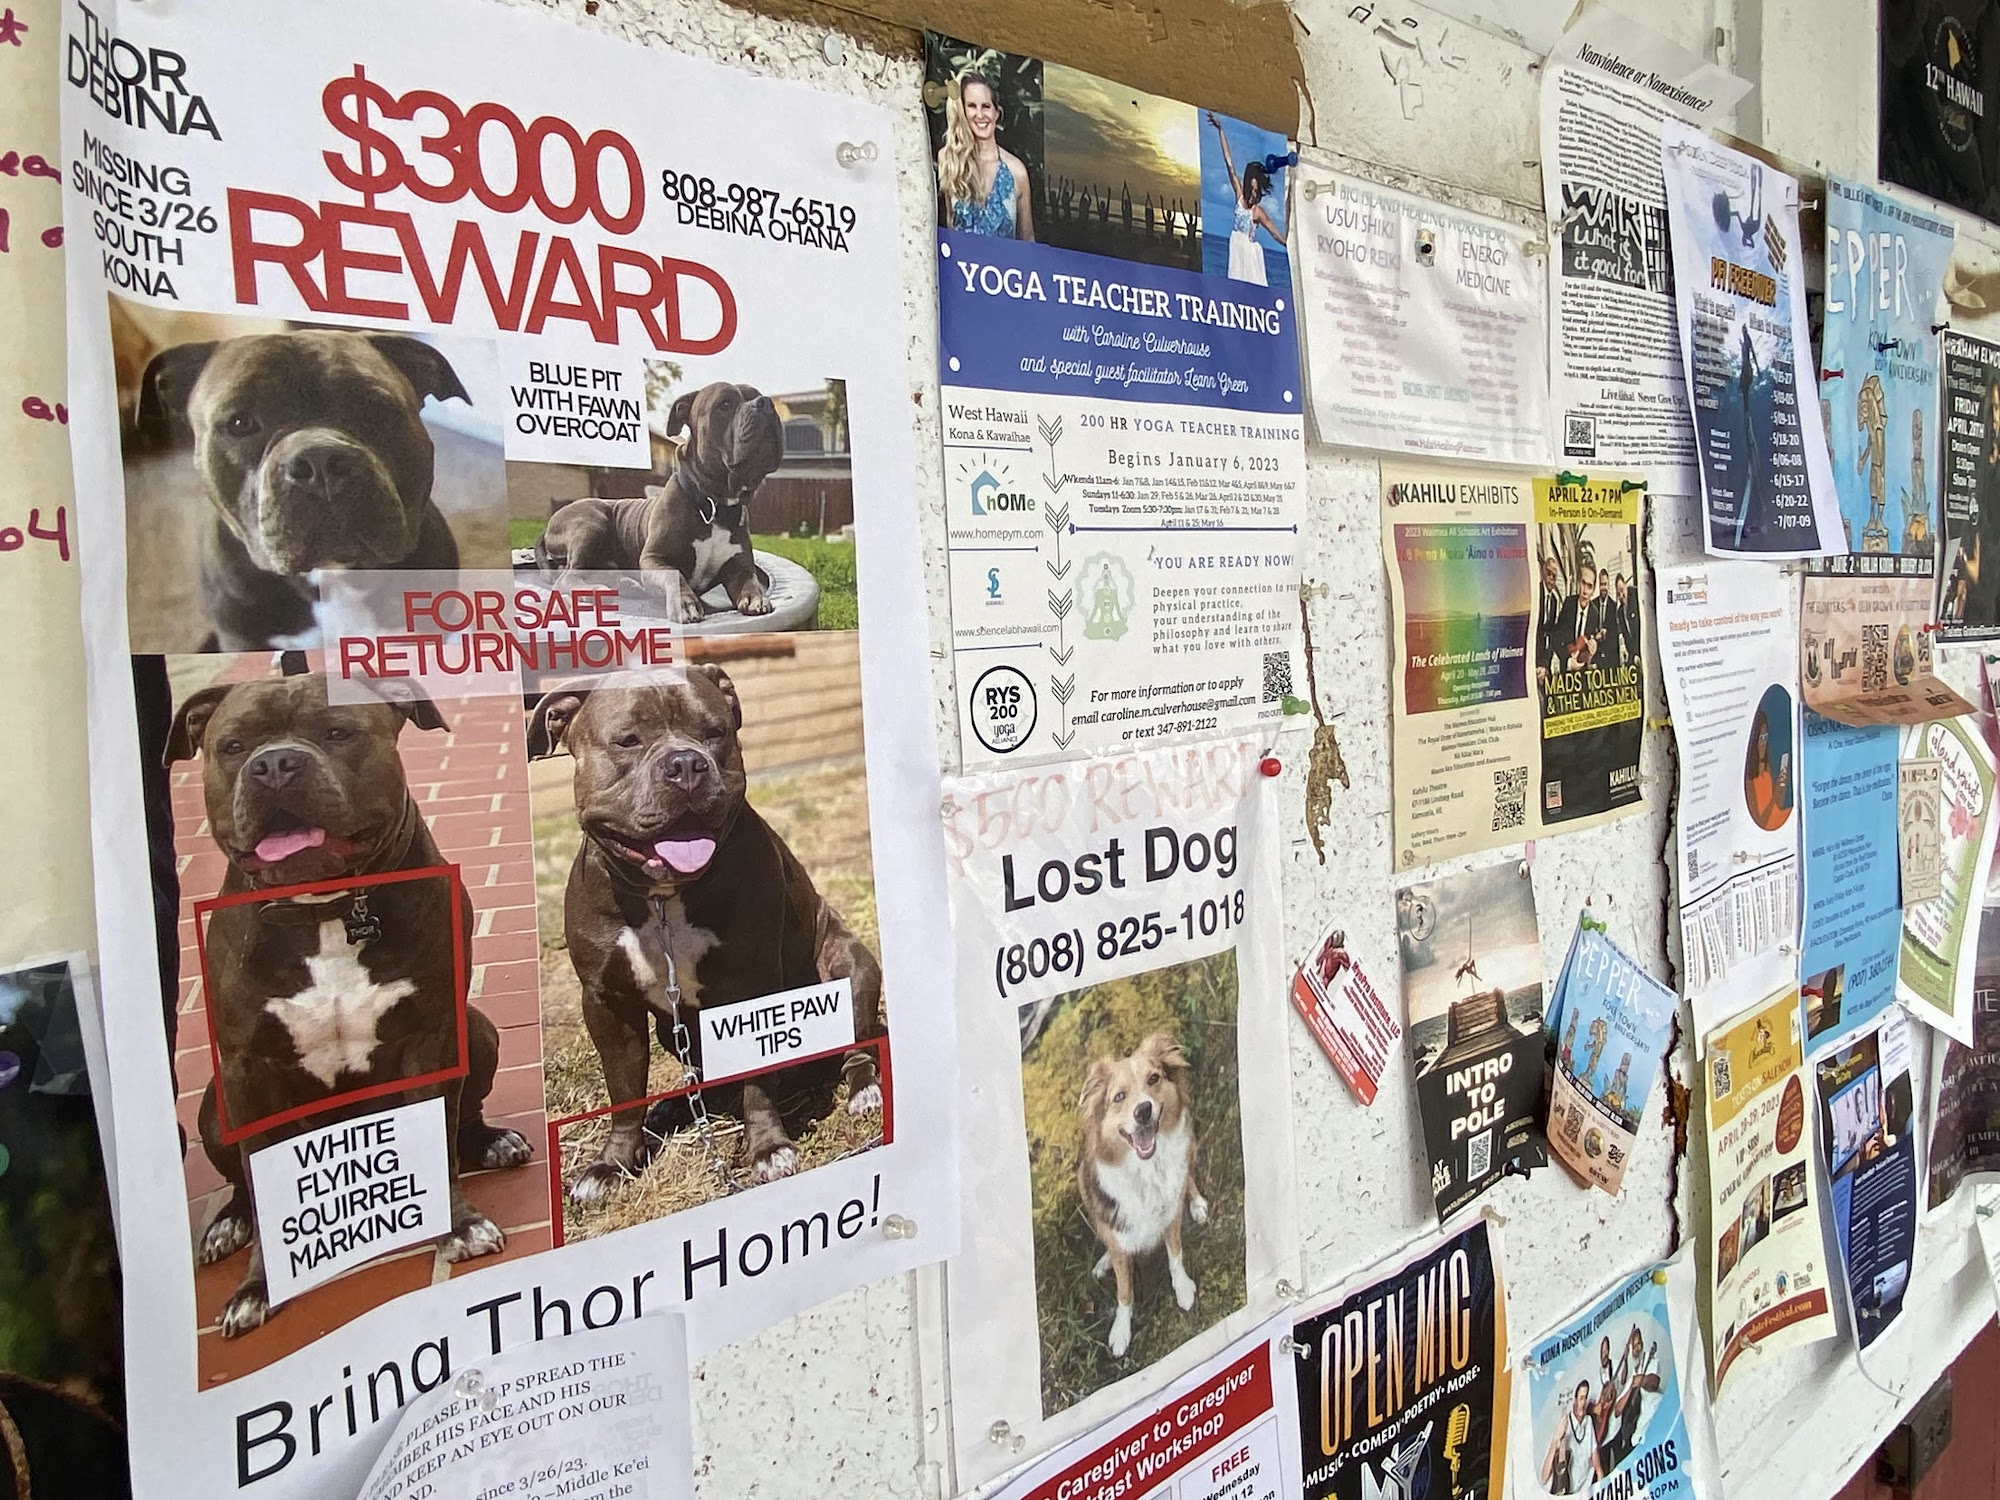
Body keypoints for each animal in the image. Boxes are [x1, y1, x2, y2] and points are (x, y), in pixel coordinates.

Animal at [166, 672, 531, 1337]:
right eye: (232, 746)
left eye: (338, 732)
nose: (276, 765)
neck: (327, 911)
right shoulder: (249, 1071)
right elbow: (262, 1182)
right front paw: (256, 1288)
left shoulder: (432, 1037)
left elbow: (437, 1139)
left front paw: (459, 1225)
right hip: (213, 1102)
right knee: (241, 1182)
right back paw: (227, 1223)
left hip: (479, 1029)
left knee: (462, 1118)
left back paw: (492, 1142)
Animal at [527, 666, 882, 1201]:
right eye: (627, 740)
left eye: (714, 733)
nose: (686, 764)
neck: (663, 896)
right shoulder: (607, 1001)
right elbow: (623, 1088)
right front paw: (612, 1164)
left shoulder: (754, 986)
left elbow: (757, 1082)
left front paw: (768, 1149)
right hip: (670, 1031)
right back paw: (674, 1106)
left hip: (850, 966)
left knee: (856, 1046)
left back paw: (863, 1092)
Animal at [536, 382, 784, 621]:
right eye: (725, 404)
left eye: (757, 394)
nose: (765, 403)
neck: (713, 505)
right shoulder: (654, 559)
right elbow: (675, 577)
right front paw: (685, 603)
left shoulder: (740, 567)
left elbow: (750, 581)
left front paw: (755, 597)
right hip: (591, 524)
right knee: (566, 577)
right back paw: (595, 590)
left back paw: (626, 583)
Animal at [1079, 1034, 1207, 1358]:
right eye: (1119, 1097)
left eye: (1154, 1079)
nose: (1143, 1111)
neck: (1147, 1170)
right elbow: (1124, 1291)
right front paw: (1121, 1331)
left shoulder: (1170, 1216)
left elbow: (1176, 1256)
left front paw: (1183, 1289)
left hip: (1190, 1148)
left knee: (1188, 1178)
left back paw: (1198, 1204)